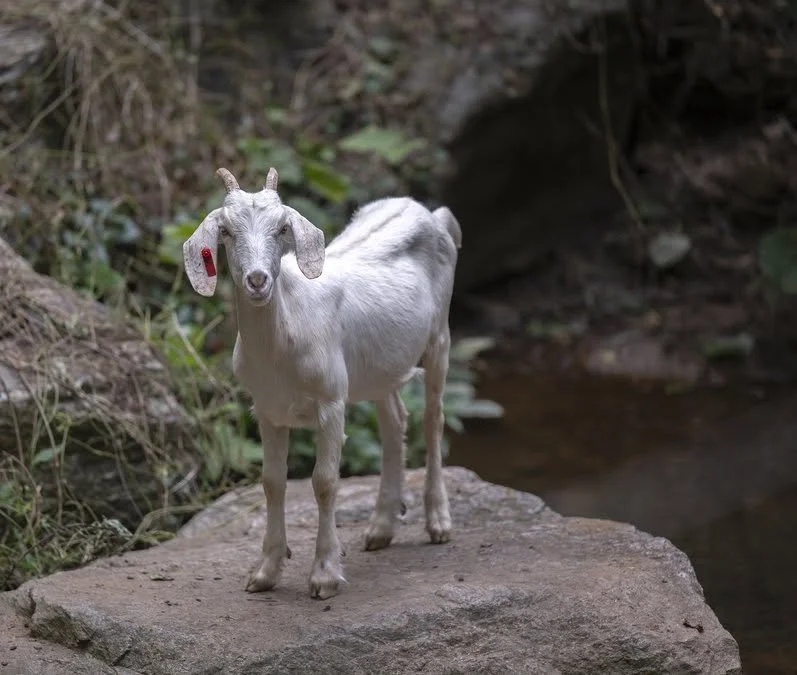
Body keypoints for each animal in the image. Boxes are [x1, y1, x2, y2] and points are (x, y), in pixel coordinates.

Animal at [183, 167, 462, 599]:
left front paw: (325, 574)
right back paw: (380, 528)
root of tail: (431, 213)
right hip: (378, 367)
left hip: (439, 339)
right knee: (394, 421)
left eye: (282, 227)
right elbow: (272, 482)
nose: (258, 280)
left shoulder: (331, 401)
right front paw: (265, 572)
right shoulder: (266, 410)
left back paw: (438, 522)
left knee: (433, 419)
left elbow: (325, 482)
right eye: (226, 231)